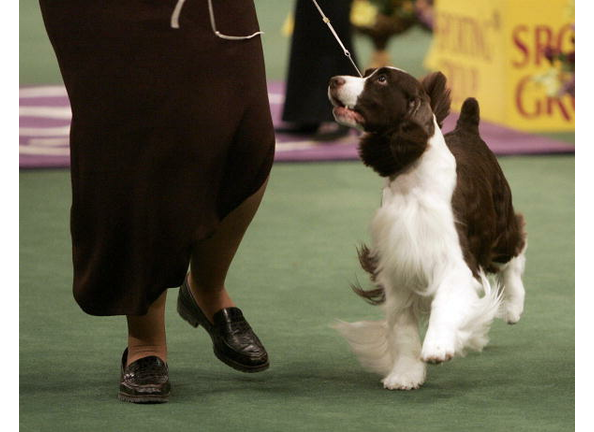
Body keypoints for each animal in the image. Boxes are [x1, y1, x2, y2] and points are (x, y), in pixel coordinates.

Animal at [328, 68, 528, 392]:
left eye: (381, 79)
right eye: (367, 73)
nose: (334, 80)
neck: (412, 181)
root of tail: (467, 130)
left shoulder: (454, 259)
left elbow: (445, 303)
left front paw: (437, 347)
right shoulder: (398, 265)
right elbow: (403, 329)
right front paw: (405, 375)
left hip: (499, 219)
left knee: (514, 249)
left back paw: (512, 307)